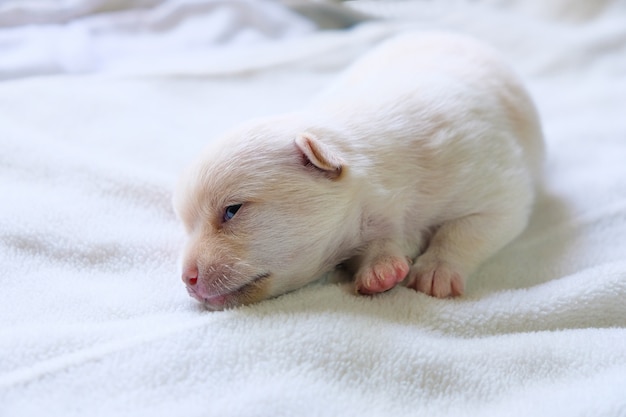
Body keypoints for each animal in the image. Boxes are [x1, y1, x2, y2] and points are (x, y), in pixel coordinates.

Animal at [173, 31, 544, 308]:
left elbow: (468, 229)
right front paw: (380, 268)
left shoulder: (494, 185)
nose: (187, 279)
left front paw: (435, 270)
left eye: (232, 211)